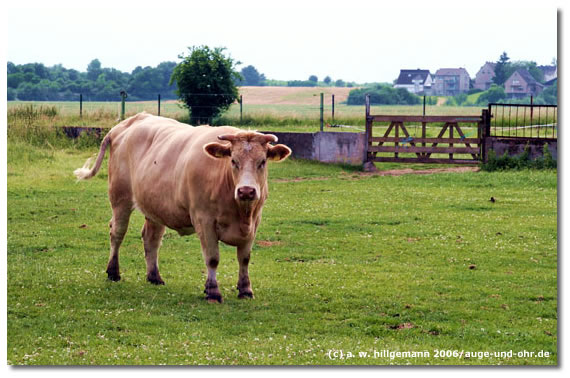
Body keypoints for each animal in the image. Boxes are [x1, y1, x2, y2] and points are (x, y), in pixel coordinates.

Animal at [73, 113, 290, 304]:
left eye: (262, 162)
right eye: (233, 161)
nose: (246, 191)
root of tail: (128, 122)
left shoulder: (254, 221)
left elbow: (244, 258)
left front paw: (245, 290)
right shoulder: (204, 220)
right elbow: (212, 258)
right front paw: (212, 292)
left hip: (154, 205)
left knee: (151, 239)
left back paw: (154, 277)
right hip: (120, 198)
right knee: (117, 232)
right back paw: (113, 272)